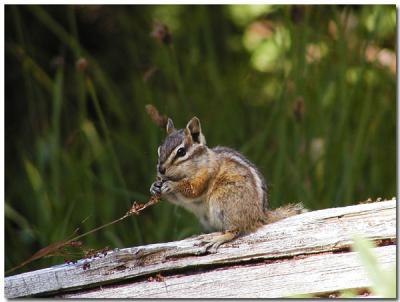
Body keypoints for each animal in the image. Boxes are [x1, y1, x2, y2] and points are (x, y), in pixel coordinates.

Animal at [150, 114, 306, 254]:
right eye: (159, 149)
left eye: (181, 152)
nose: (160, 170)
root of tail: (259, 216)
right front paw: (154, 187)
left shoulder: (205, 175)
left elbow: (193, 190)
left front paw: (172, 185)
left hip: (224, 201)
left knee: (236, 230)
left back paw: (218, 238)